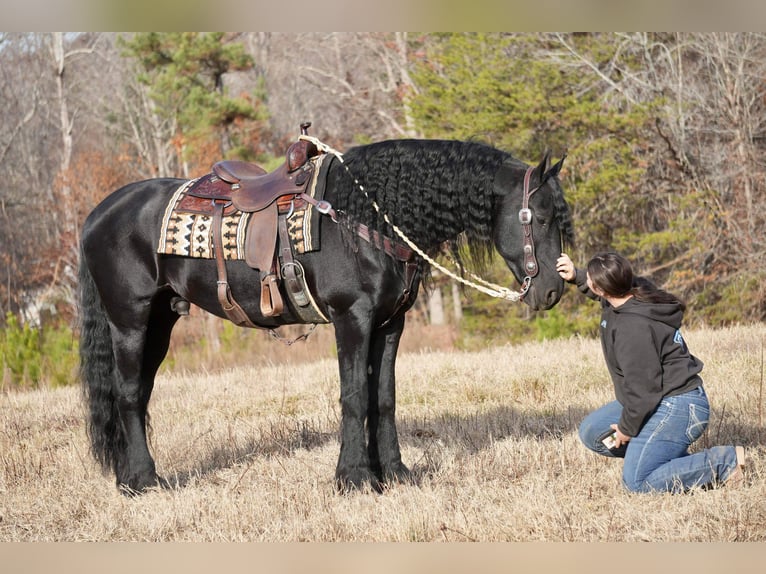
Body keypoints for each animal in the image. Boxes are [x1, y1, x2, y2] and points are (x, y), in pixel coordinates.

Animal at [79, 138, 576, 496]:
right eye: (541, 217)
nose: (554, 288)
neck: (368, 217)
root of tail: (98, 214)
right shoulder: (351, 319)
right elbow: (354, 396)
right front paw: (354, 477)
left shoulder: (390, 325)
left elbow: (383, 398)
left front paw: (394, 472)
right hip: (130, 320)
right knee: (128, 395)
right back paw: (145, 481)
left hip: (160, 322)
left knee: (137, 395)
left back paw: (128, 477)